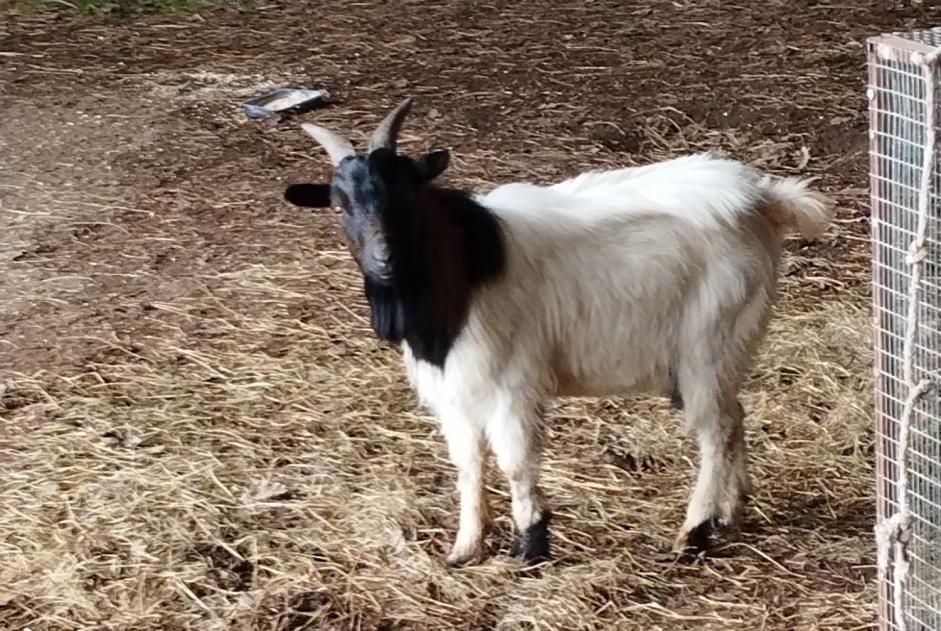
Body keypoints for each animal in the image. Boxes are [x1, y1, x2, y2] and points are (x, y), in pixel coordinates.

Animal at [282, 99, 832, 568]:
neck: (464, 268)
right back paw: (730, 515)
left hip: (708, 343)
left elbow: (514, 461)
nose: (385, 259)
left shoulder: (510, 382)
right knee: (734, 416)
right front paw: (465, 548)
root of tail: (760, 198)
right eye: (339, 204)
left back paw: (692, 533)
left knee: (714, 431)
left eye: (407, 192)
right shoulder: (454, 390)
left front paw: (530, 543)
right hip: (724, 351)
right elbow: (469, 466)